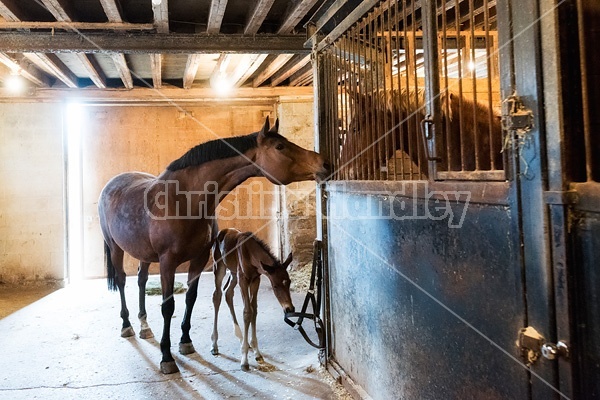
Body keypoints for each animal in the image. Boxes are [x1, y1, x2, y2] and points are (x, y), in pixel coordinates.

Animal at [211, 228, 296, 372]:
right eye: (275, 286)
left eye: (289, 282)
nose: (289, 308)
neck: (249, 253)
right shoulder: (243, 279)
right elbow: (247, 312)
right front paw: (244, 361)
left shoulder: (256, 279)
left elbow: (254, 310)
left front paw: (257, 352)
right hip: (220, 267)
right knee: (217, 296)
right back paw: (214, 345)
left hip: (234, 274)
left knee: (228, 293)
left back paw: (241, 339)